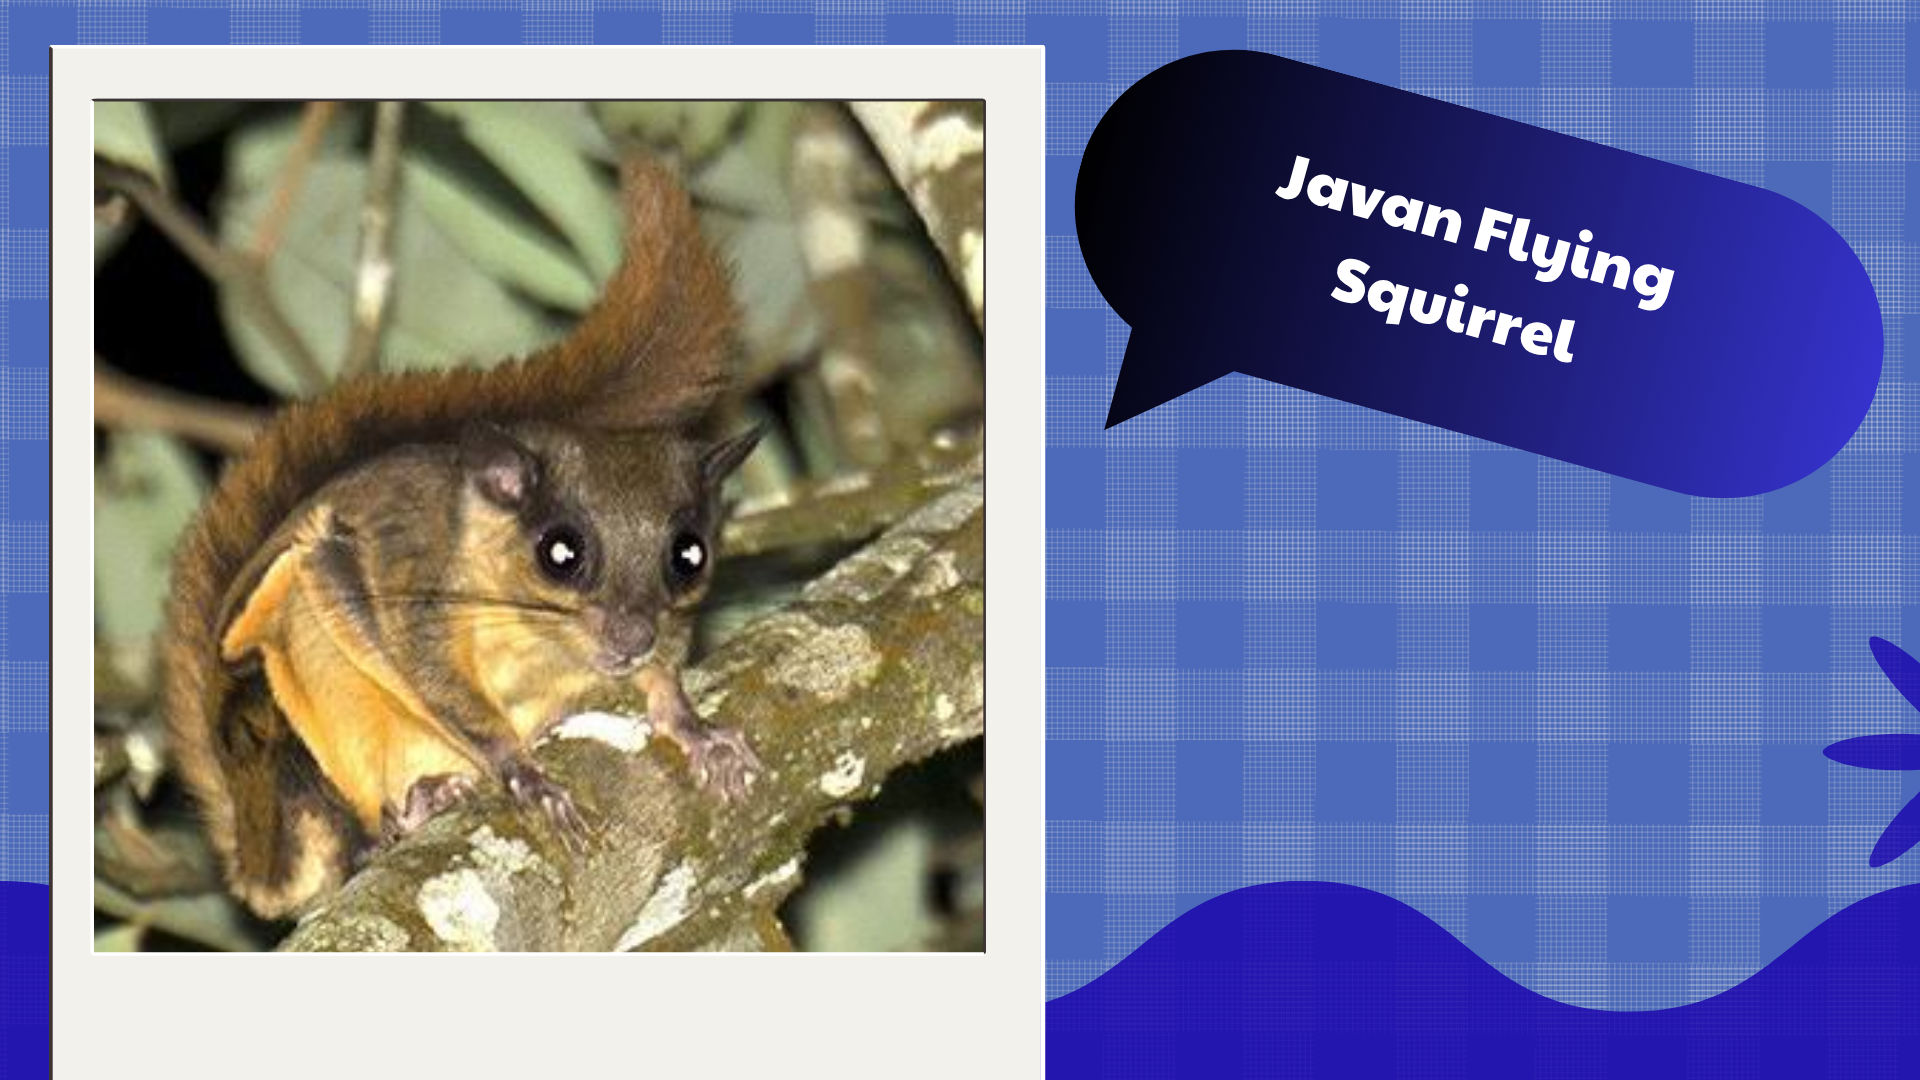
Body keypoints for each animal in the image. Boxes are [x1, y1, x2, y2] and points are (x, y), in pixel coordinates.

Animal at [162, 157, 764, 920]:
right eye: (560, 553)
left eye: (690, 556)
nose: (630, 637)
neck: (542, 646)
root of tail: (255, 854)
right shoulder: (401, 578)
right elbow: (435, 684)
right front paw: (521, 771)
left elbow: (665, 681)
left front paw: (697, 732)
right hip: (289, 728)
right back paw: (398, 820)